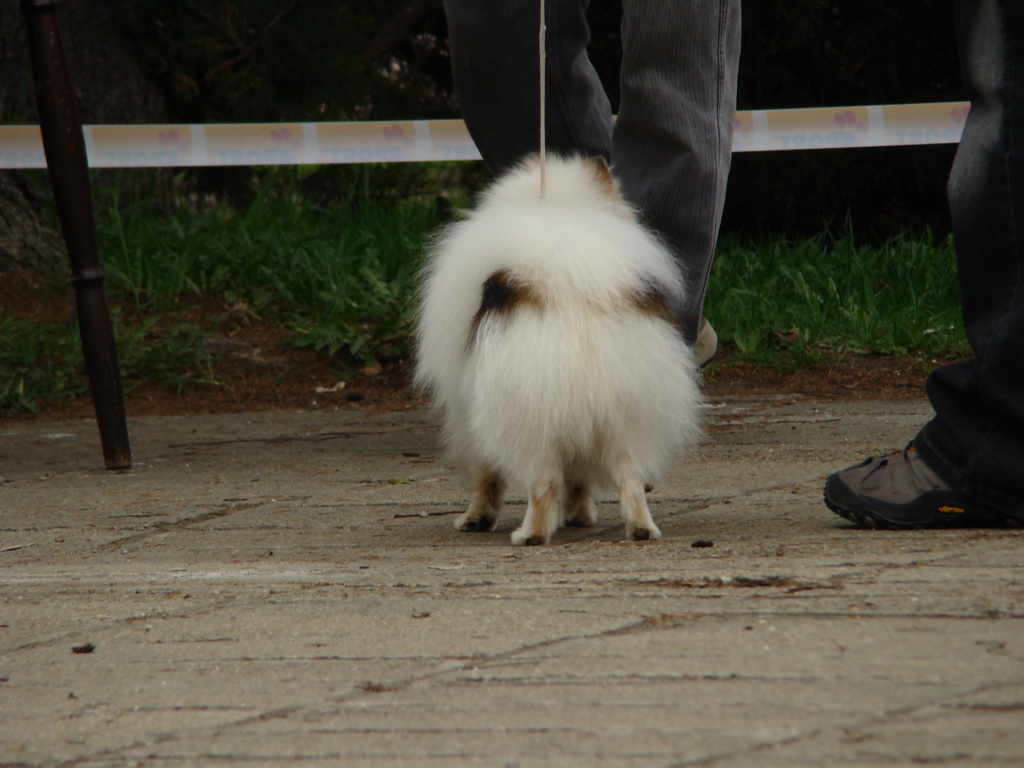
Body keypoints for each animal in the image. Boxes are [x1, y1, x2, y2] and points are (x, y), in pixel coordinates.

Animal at [411, 153, 700, 544]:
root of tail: (567, 292)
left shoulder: (469, 411)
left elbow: (487, 477)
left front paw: (476, 518)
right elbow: (578, 478)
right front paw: (579, 514)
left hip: (527, 419)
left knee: (543, 483)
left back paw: (530, 534)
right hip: (628, 411)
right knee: (630, 477)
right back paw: (641, 528)